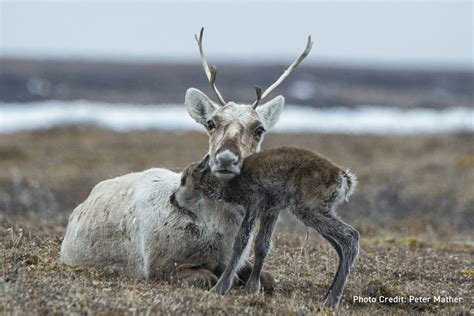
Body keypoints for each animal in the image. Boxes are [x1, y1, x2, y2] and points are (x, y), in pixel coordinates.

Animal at [174, 147, 360, 308]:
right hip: (315, 213)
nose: (173, 199)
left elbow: (241, 242)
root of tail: (344, 178)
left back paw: (332, 300)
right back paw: (328, 295)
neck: (228, 182)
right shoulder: (271, 211)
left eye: (184, 180)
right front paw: (252, 288)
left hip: (310, 210)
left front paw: (220, 287)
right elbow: (262, 245)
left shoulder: (254, 205)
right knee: (340, 246)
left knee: (351, 236)